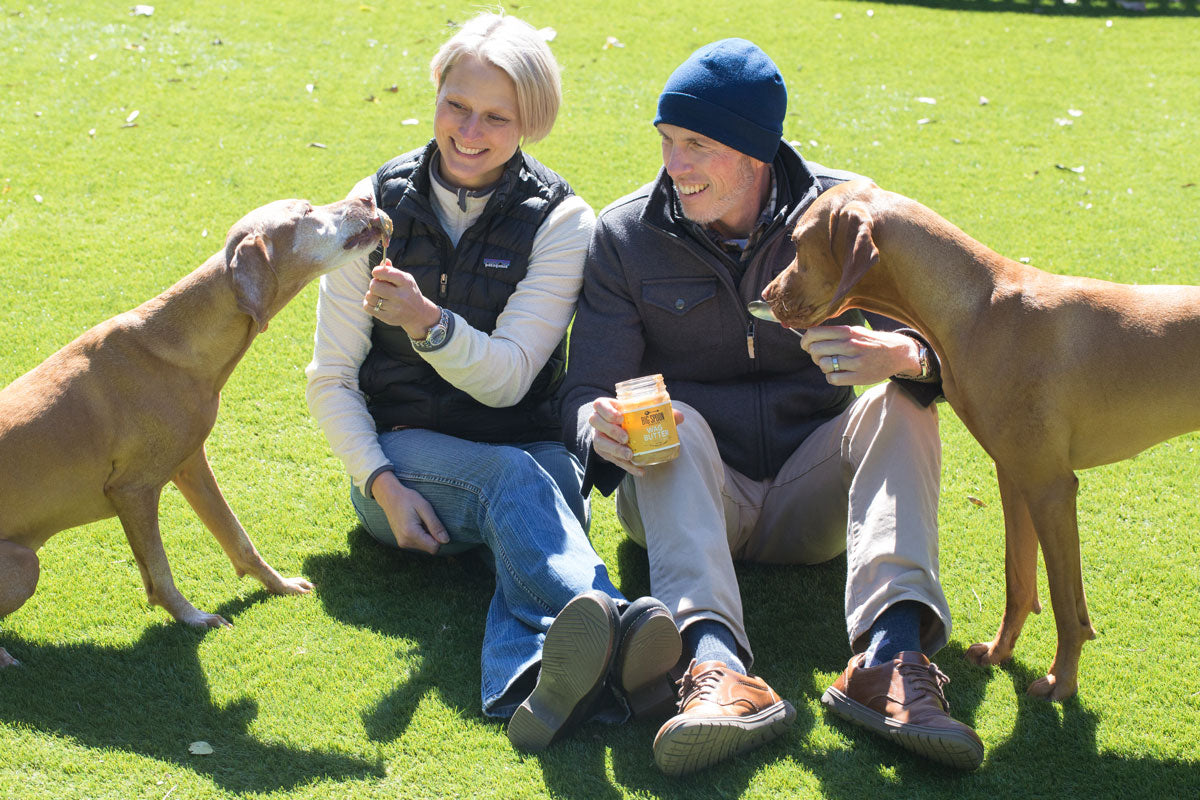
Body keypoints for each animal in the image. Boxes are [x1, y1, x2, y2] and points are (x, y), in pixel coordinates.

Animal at [0, 195, 391, 671]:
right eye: (306, 212)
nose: (368, 199)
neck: (175, 341)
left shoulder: (191, 465)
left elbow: (239, 539)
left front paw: (278, 585)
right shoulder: (133, 491)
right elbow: (160, 574)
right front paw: (193, 619)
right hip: (23, 565)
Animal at [763, 179, 1200, 700]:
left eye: (795, 242)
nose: (765, 294)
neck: (976, 308)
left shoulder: (1051, 487)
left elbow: (1063, 603)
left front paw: (1062, 682)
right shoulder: (1014, 477)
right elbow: (1021, 580)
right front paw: (999, 653)